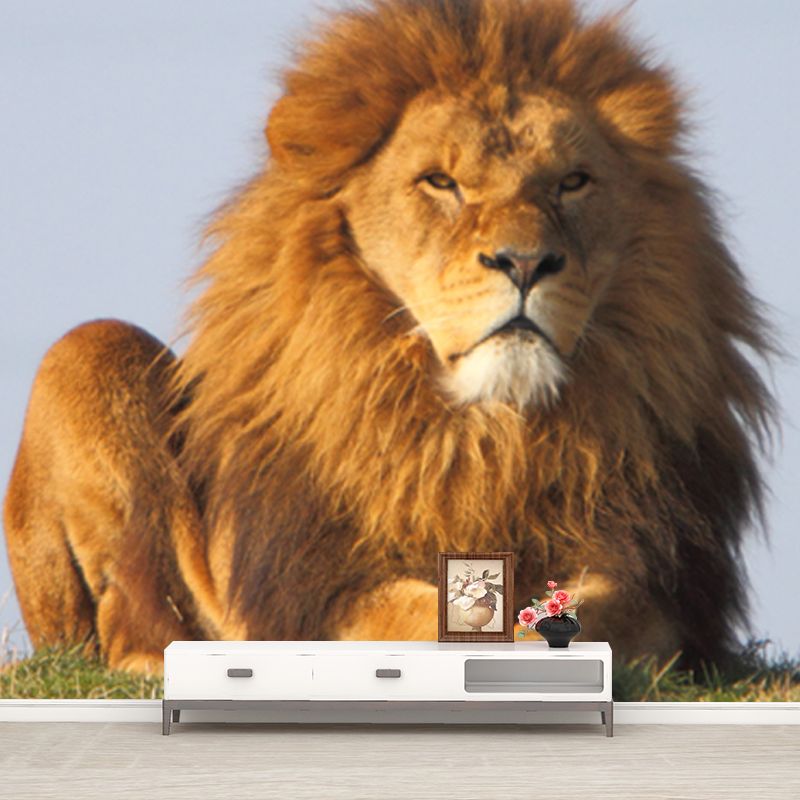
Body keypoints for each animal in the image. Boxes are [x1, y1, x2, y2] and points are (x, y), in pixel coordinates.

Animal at [4, 0, 774, 675]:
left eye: (573, 182)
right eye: (440, 182)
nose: (526, 263)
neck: (488, 437)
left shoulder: (663, 579)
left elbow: (608, 609)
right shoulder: (313, 586)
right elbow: (407, 616)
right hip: (89, 353)